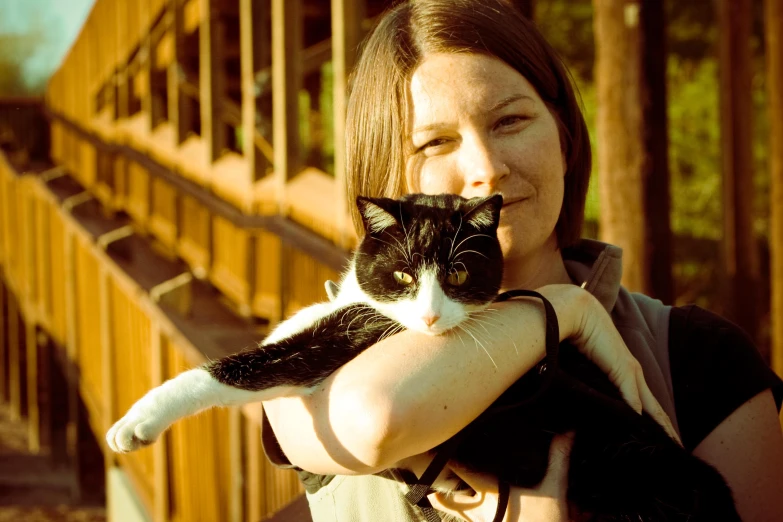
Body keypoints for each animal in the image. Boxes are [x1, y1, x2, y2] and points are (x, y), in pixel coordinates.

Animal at [105, 193, 740, 516]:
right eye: (405, 274)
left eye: (457, 273)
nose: (431, 317)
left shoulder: (352, 340)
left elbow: (255, 362)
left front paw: (136, 422)